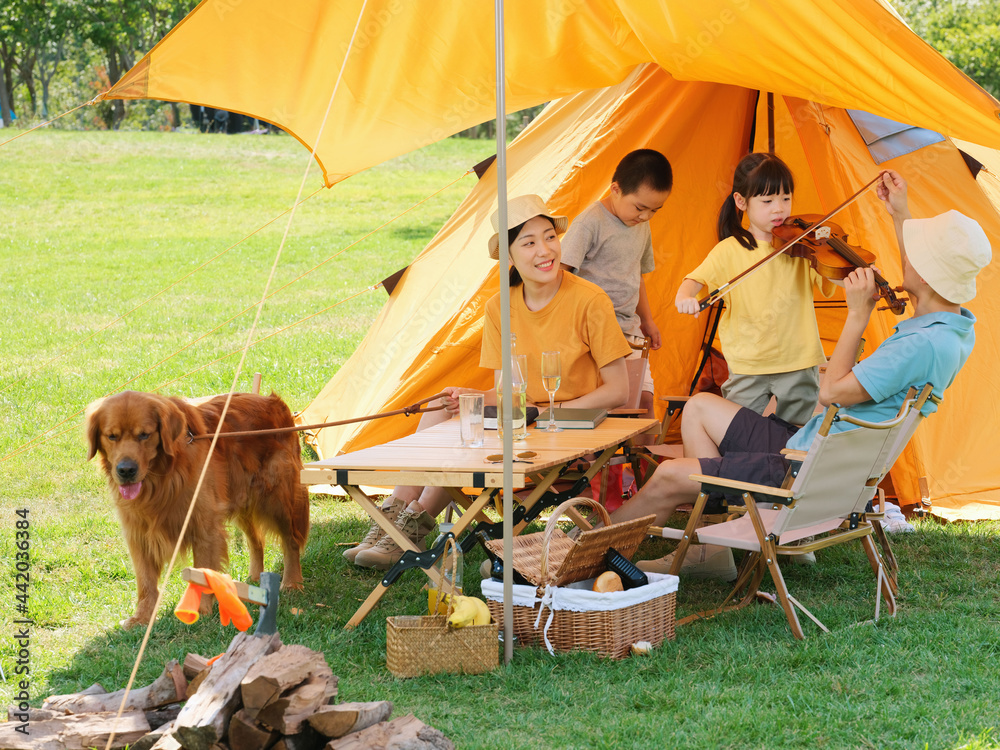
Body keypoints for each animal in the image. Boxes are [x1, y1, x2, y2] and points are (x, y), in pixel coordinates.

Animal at [88, 390, 310, 632]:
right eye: (112, 436)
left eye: (144, 435)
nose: (126, 470)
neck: (163, 477)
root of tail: (274, 401)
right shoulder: (138, 532)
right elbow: (145, 581)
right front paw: (142, 618)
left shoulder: (205, 524)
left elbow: (202, 571)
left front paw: (200, 610)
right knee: (256, 540)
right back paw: (253, 579)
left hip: (278, 499)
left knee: (291, 540)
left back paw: (292, 582)